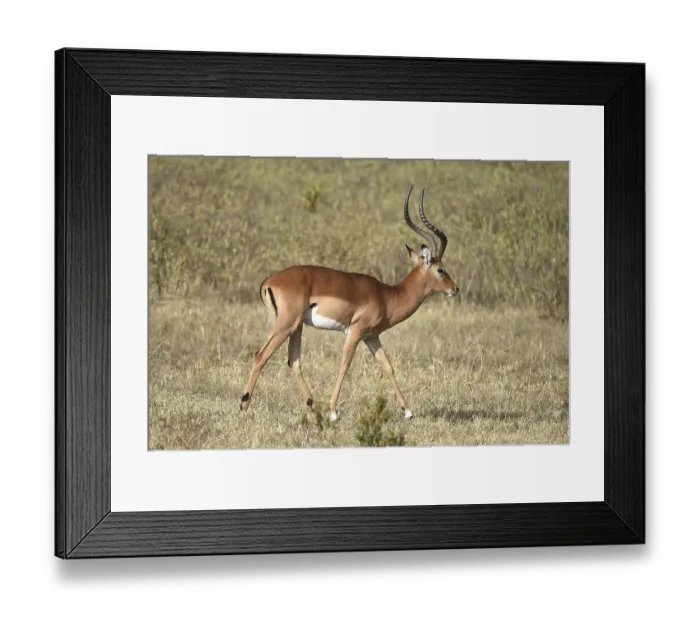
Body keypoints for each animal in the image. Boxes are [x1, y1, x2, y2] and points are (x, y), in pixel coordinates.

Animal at [240, 186, 459, 422]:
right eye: (441, 269)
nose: (455, 289)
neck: (386, 295)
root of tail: (268, 281)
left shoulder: (371, 337)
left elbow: (388, 366)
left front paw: (408, 412)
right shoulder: (355, 331)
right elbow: (344, 366)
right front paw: (334, 412)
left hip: (296, 327)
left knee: (294, 362)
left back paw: (313, 406)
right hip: (286, 325)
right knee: (260, 356)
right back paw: (244, 406)